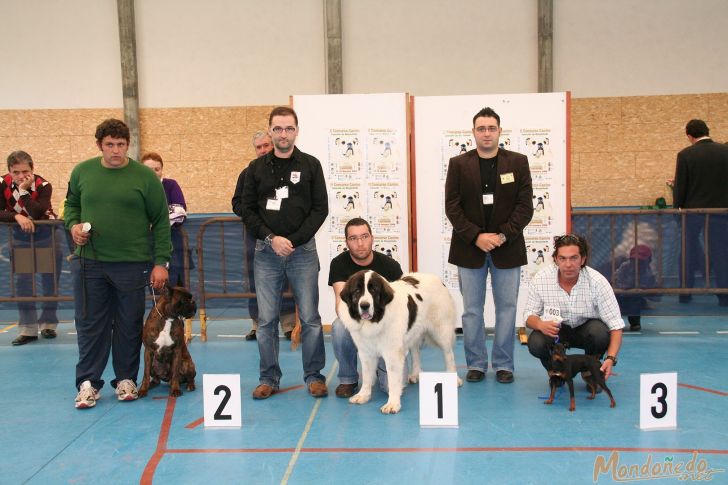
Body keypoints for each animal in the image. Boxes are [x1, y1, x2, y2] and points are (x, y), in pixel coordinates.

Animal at [340, 268, 464, 412]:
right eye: (357, 291)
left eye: (374, 290)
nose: (364, 305)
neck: (376, 321)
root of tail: (437, 279)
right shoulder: (365, 352)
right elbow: (366, 376)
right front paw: (363, 395)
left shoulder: (392, 354)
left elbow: (393, 380)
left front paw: (393, 403)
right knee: (416, 352)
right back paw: (416, 374)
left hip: (441, 331)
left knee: (449, 354)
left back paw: (454, 378)